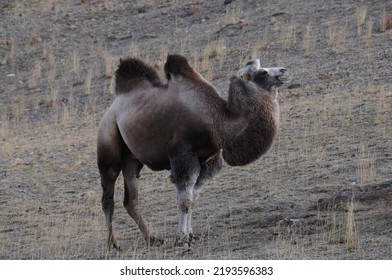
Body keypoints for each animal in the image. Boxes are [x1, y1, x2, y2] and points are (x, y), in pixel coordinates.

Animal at [97, 53, 292, 248]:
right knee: (108, 194)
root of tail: (112, 108)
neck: (214, 121)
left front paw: (191, 234)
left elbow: (193, 197)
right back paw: (112, 244)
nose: (284, 71)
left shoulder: (209, 159)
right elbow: (185, 199)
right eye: (262, 72)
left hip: (131, 157)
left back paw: (151, 238)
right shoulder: (182, 153)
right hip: (108, 140)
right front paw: (182, 238)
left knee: (131, 197)